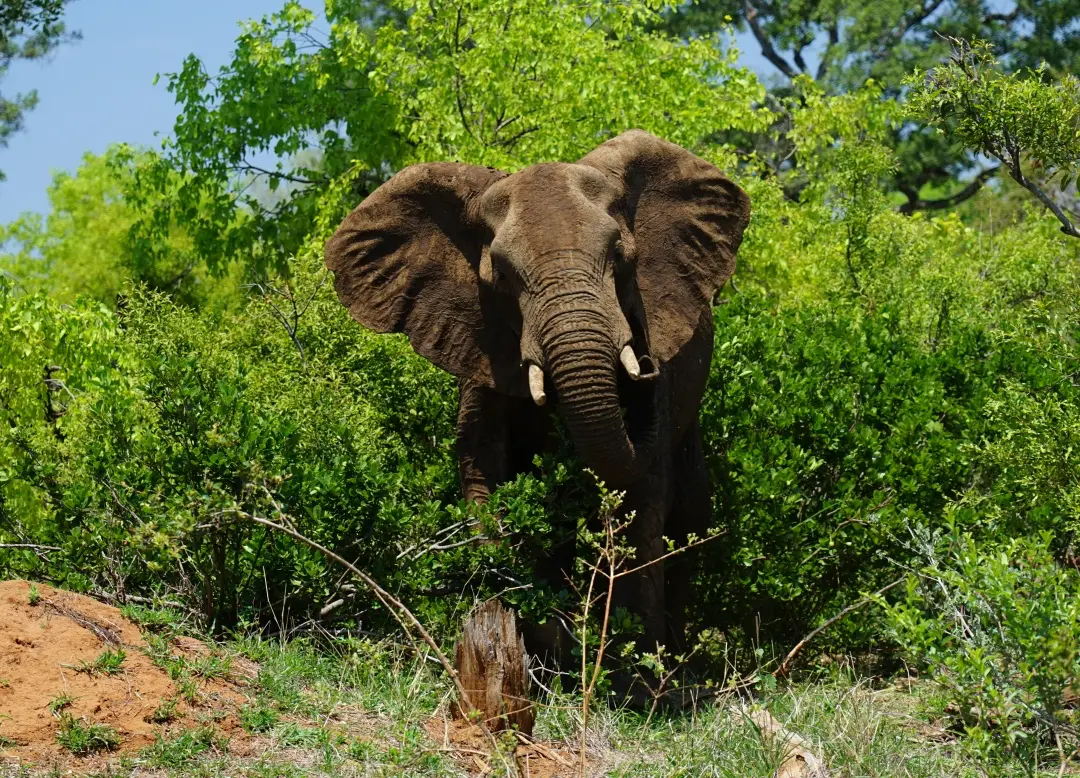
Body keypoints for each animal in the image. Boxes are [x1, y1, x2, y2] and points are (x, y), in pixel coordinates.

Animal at [324, 129, 750, 666]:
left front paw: (634, 677)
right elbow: (483, 471)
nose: (648, 360)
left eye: (620, 256)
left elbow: (641, 499)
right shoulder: (482, 350)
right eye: (502, 276)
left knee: (690, 513)